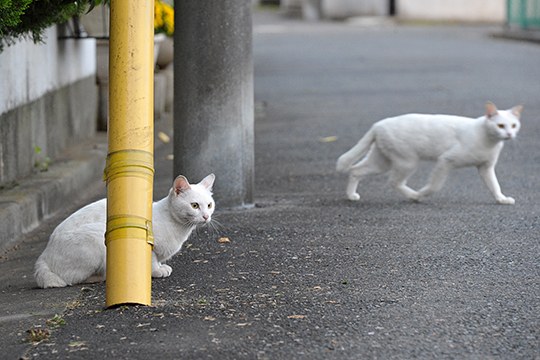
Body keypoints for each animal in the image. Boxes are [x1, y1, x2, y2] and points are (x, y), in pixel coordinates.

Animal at [33, 173, 215, 288]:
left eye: (209, 205)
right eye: (194, 205)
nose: (206, 216)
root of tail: (43, 256)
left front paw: (161, 267)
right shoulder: (148, 244)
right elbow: (152, 260)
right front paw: (156, 271)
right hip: (96, 240)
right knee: (71, 279)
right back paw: (100, 277)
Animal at [338, 102, 524, 205]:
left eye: (514, 125)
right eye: (500, 126)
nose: (509, 134)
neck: (489, 141)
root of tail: (378, 125)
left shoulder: (486, 167)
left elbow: (494, 185)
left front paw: (501, 199)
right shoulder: (446, 160)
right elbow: (435, 186)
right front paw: (422, 193)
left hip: (381, 161)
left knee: (356, 170)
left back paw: (351, 196)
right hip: (407, 161)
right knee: (393, 181)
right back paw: (414, 196)